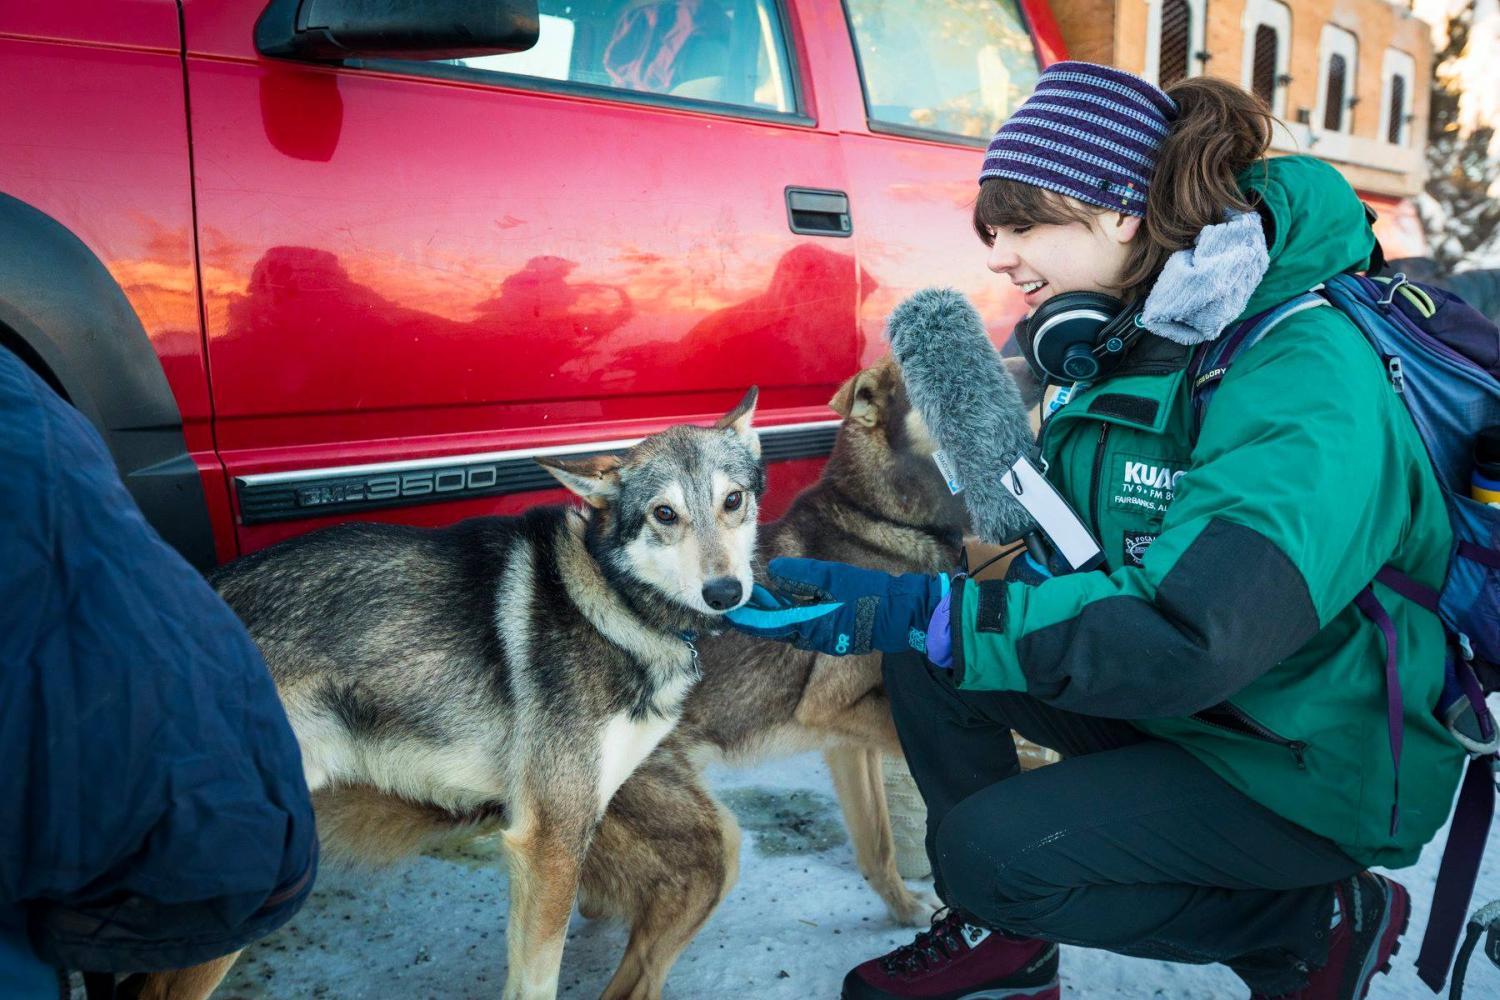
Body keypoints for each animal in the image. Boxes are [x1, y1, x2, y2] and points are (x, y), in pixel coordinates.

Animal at [132, 389, 762, 1000]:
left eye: (733, 501)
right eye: (664, 514)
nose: (725, 592)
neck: (615, 600)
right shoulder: (550, 843)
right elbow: (538, 982)